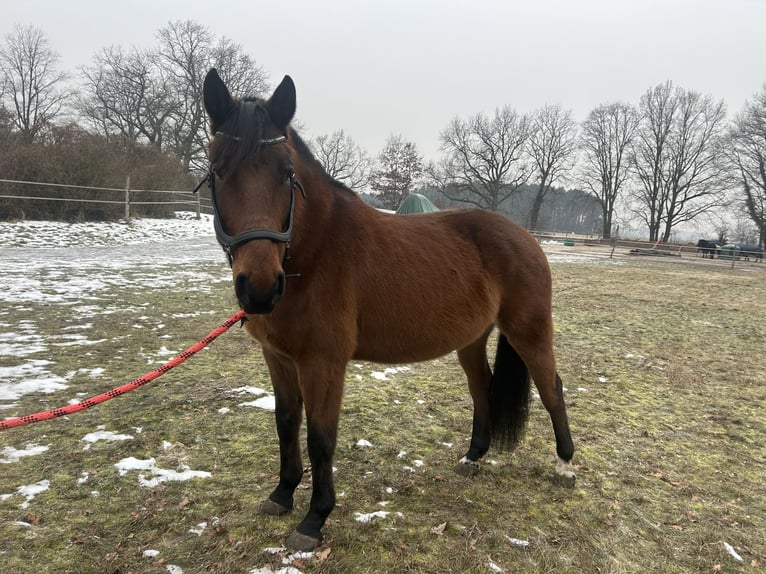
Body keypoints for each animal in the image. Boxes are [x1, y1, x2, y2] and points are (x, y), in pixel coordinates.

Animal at [201, 68, 575, 551]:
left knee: (552, 389)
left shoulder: (323, 363)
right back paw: (473, 457)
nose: (261, 289)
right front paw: (282, 494)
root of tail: (526, 236)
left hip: (529, 330)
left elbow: (321, 437)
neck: (315, 250)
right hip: (473, 338)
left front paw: (314, 519)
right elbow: (286, 422)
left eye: (286, 173)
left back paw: (565, 465)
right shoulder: (278, 357)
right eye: (217, 170)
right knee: (483, 388)